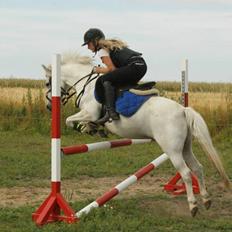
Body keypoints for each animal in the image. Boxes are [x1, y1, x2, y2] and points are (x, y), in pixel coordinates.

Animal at [43, 53, 230, 218]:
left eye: (47, 83)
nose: (49, 106)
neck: (87, 85)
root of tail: (183, 110)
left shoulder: (90, 112)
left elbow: (69, 120)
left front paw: (90, 128)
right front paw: (95, 129)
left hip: (172, 150)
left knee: (185, 173)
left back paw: (193, 206)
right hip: (185, 147)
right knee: (197, 168)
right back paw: (206, 200)